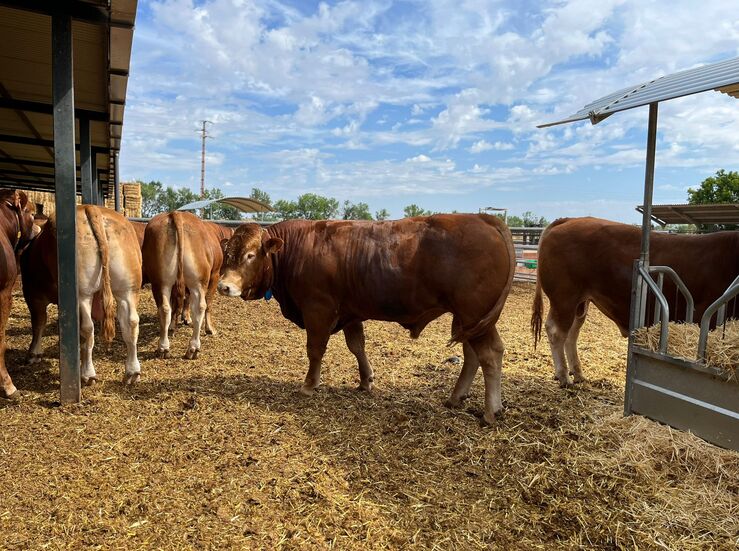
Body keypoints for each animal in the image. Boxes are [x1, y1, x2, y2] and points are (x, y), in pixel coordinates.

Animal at [21, 206, 143, 388]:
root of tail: (91, 208)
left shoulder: (33, 295)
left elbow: (39, 323)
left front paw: (34, 353)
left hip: (82, 293)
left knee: (87, 328)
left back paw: (87, 373)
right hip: (127, 289)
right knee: (131, 323)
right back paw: (132, 372)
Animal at [142, 210, 223, 358]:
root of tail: (176, 214)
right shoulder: (214, 275)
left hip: (163, 281)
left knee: (171, 308)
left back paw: (177, 347)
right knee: (198, 305)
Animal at [220, 213, 516, 424]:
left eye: (250, 255)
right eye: (228, 254)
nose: (224, 286)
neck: (296, 250)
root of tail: (482, 217)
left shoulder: (318, 309)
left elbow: (315, 350)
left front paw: (309, 385)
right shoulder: (351, 312)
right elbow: (357, 346)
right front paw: (365, 381)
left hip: (474, 314)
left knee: (490, 354)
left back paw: (491, 411)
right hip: (470, 320)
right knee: (474, 354)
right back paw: (456, 398)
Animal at [532, 216, 739, 388]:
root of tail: (570, 219)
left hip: (580, 302)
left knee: (572, 334)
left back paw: (578, 374)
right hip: (564, 297)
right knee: (557, 331)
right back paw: (564, 377)